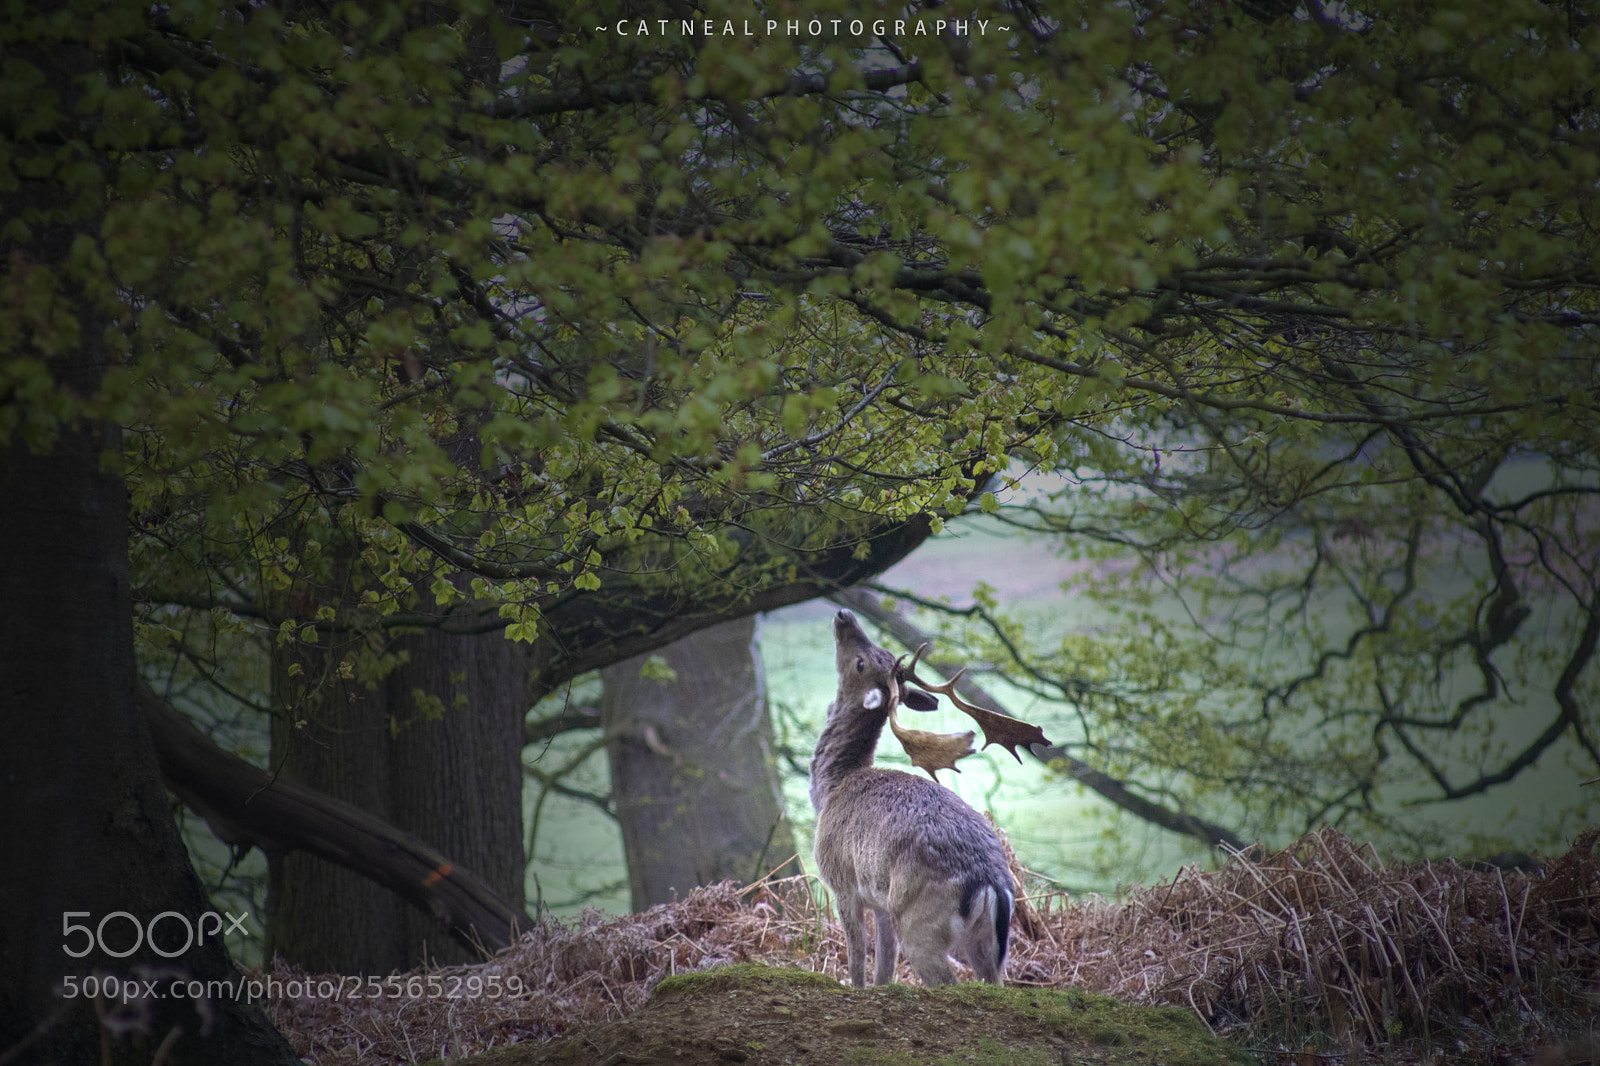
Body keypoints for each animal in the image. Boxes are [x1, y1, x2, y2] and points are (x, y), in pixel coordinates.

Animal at [809, 607, 1049, 988]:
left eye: (861, 663)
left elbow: (857, 956)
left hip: (918, 918)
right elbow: (885, 964)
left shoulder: (841, 882)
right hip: (988, 942)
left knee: (944, 979)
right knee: (996, 980)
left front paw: (854, 986)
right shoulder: (880, 901)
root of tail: (990, 884)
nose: (844, 614)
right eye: (882, 651)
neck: (832, 786)